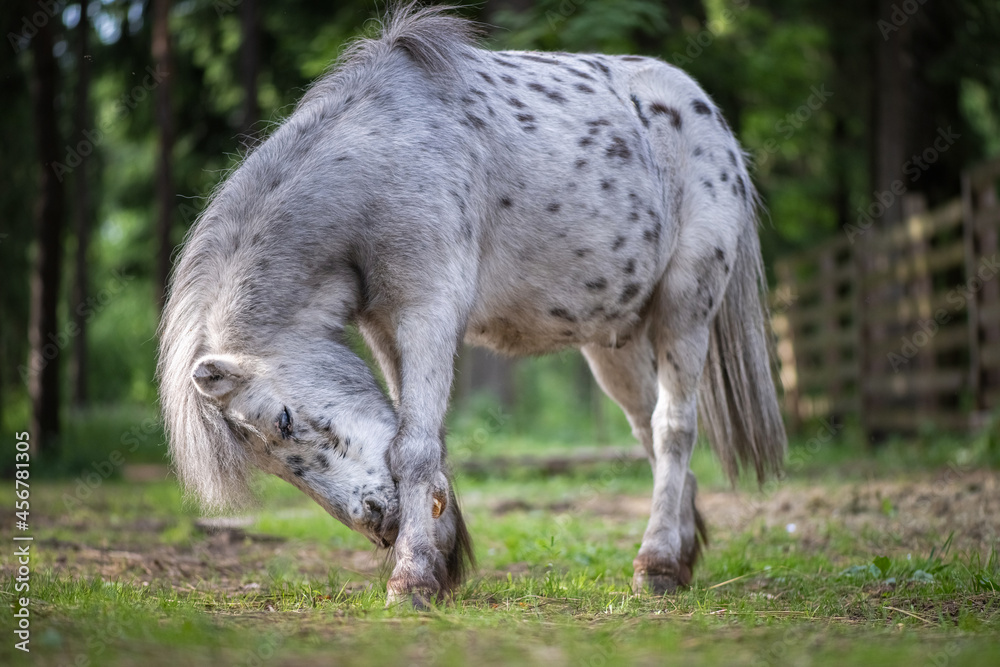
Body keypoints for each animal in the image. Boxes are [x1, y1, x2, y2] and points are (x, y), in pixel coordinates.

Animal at [158, 4, 786, 605]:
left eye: (285, 422)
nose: (378, 523)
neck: (384, 156)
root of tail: (707, 114)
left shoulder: (428, 313)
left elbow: (412, 449)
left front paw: (412, 579)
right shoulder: (386, 328)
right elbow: (422, 440)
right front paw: (435, 562)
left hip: (686, 309)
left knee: (673, 427)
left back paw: (657, 564)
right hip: (614, 347)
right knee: (646, 430)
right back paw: (677, 551)